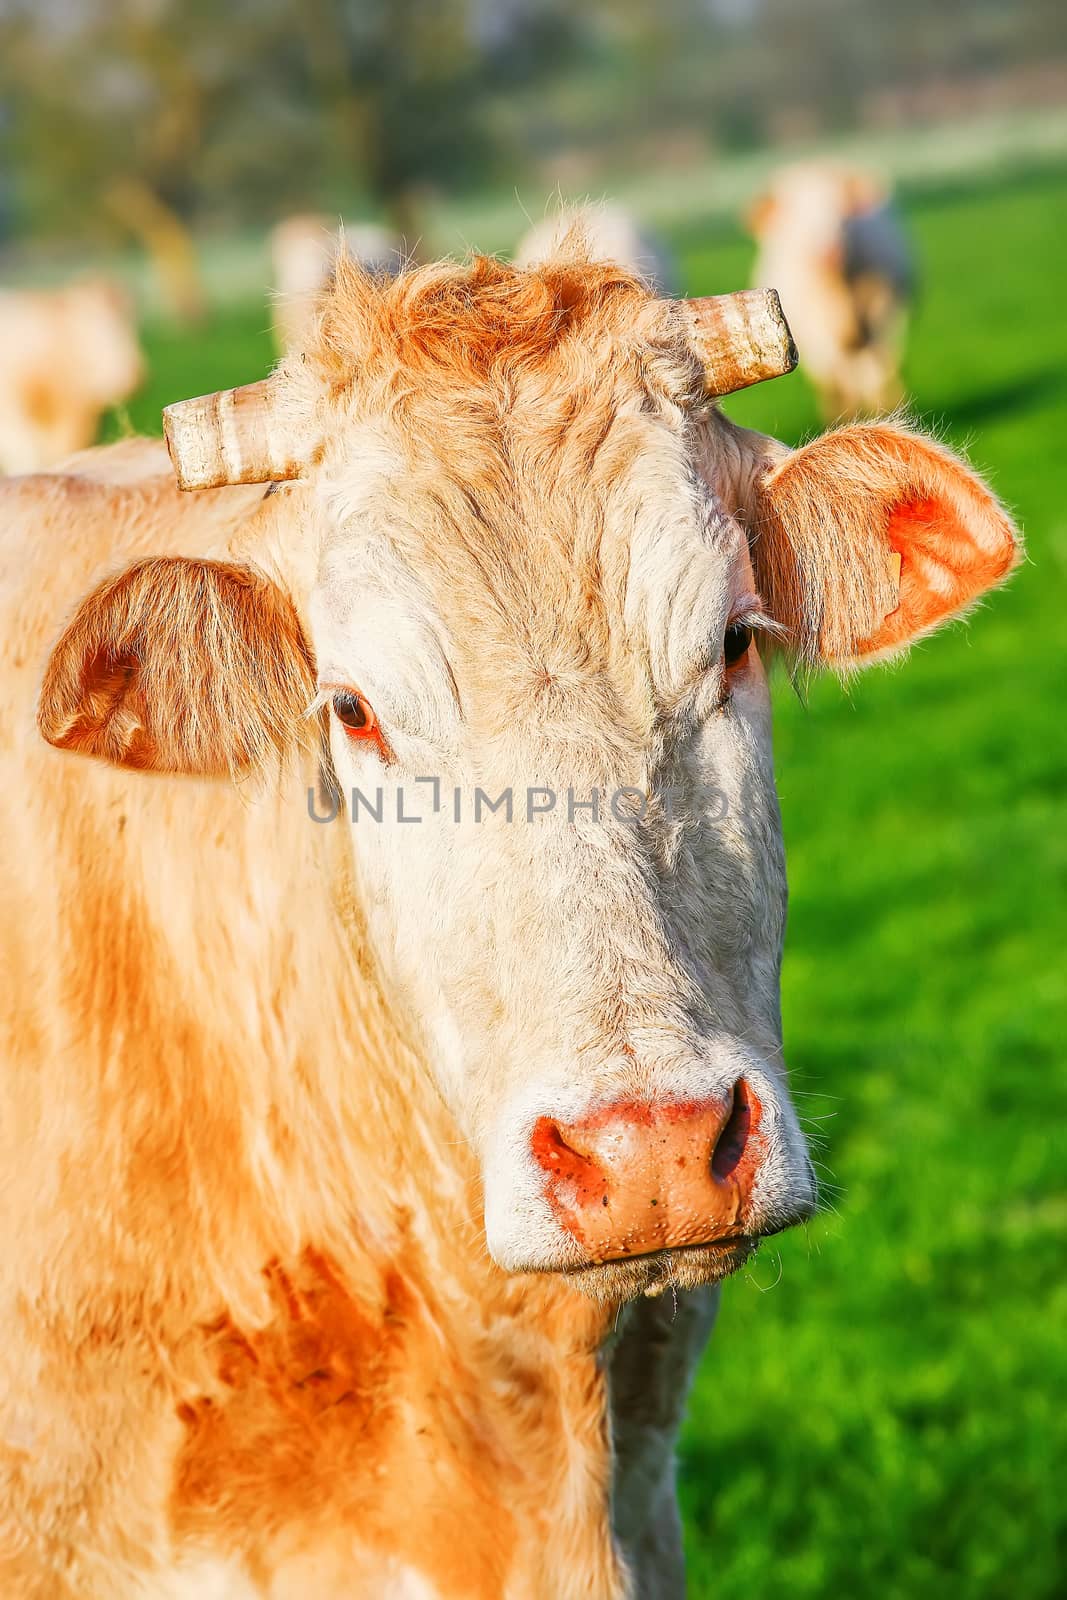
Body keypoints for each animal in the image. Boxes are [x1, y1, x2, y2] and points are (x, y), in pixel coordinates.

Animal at [748, 164, 915, 419]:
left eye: (841, 216)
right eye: (798, 222)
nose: (830, 254)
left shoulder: (886, 310)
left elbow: (882, 367)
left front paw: (891, 409)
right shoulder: (816, 334)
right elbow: (836, 381)